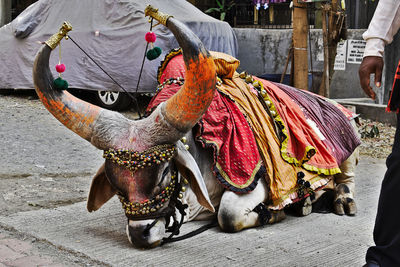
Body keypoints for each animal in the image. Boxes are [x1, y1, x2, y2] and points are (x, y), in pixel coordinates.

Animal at [33, 6, 360, 249]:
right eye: (114, 182)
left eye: (165, 173)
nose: (141, 234)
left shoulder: (253, 179)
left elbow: (228, 214)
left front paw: (272, 213)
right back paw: (309, 201)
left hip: (348, 148)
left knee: (345, 179)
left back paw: (338, 201)